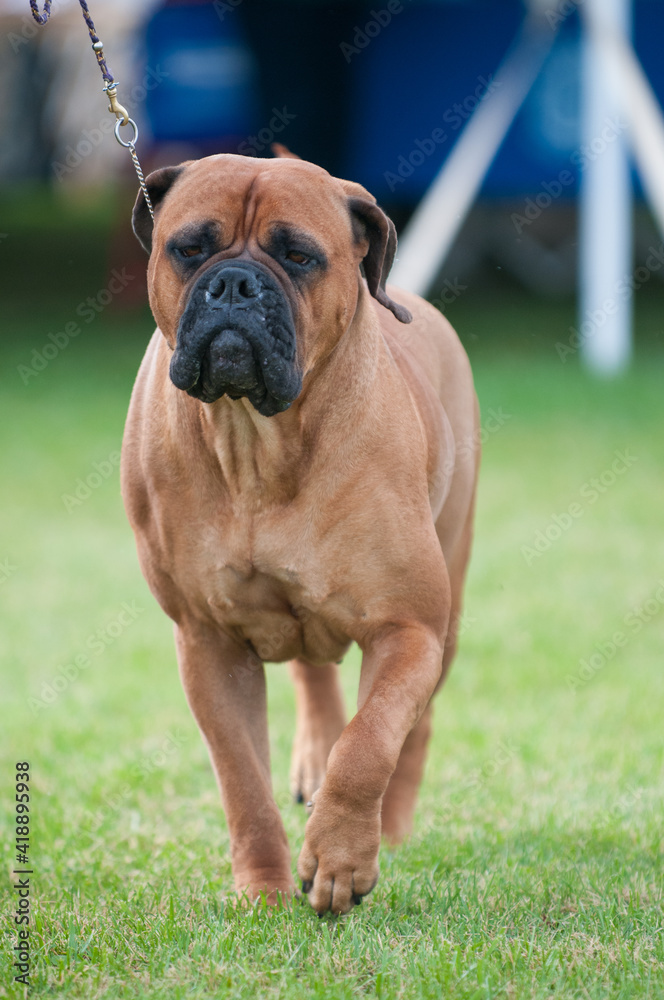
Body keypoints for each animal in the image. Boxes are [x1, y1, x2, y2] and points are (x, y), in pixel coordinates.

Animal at [122, 146, 480, 916]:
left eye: (299, 256)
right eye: (189, 247)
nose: (232, 284)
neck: (259, 444)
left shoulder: (409, 630)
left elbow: (371, 743)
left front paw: (342, 858)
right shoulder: (209, 642)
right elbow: (242, 782)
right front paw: (264, 889)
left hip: (449, 612)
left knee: (413, 729)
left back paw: (392, 831)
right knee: (314, 677)